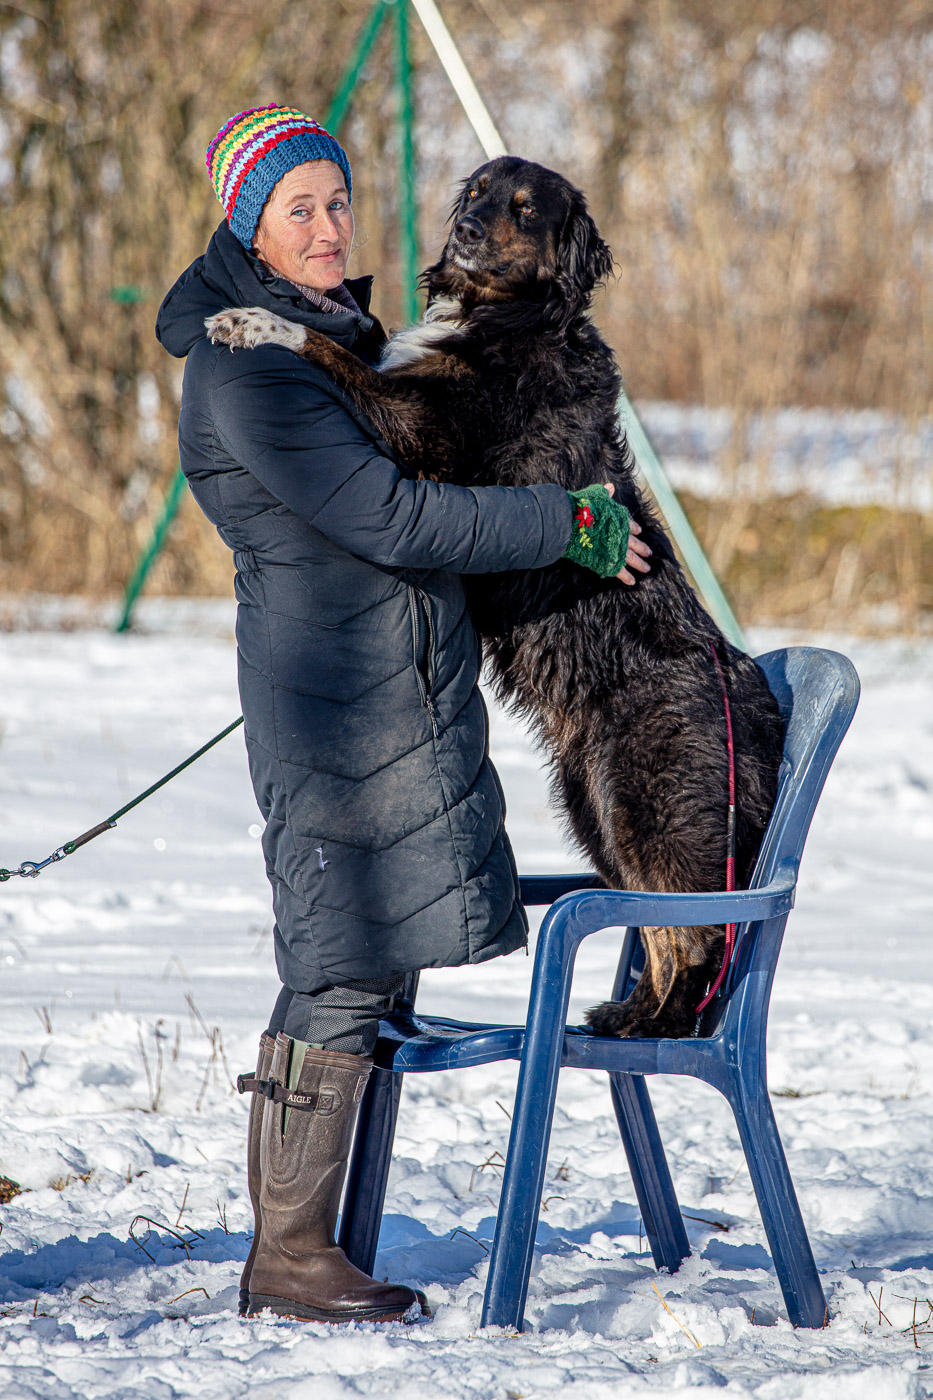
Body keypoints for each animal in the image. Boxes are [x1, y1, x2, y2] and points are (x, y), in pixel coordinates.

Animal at [207, 161, 778, 1041]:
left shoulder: (426, 441)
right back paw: (629, 1016)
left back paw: (658, 1024)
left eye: (524, 210)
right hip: (593, 808)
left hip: (644, 806)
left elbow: (332, 353)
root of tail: (755, 702)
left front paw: (254, 321)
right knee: (655, 922)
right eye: (475, 191)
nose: (467, 231)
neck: (503, 313)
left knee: (692, 930)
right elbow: (361, 347)